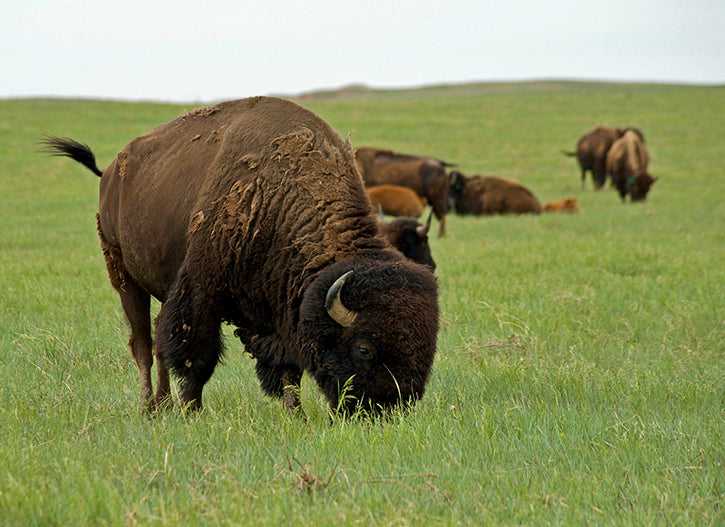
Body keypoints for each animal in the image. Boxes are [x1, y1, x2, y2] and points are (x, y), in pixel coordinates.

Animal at [41, 95, 442, 416]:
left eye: (427, 346)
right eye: (364, 349)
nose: (386, 410)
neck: (280, 196)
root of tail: (111, 171)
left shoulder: (275, 306)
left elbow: (286, 369)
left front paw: (296, 416)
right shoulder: (201, 291)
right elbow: (198, 357)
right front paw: (192, 413)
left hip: (160, 286)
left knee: (157, 341)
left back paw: (163, 405)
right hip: (124, 276)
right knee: (143, 343)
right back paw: (149, 408)